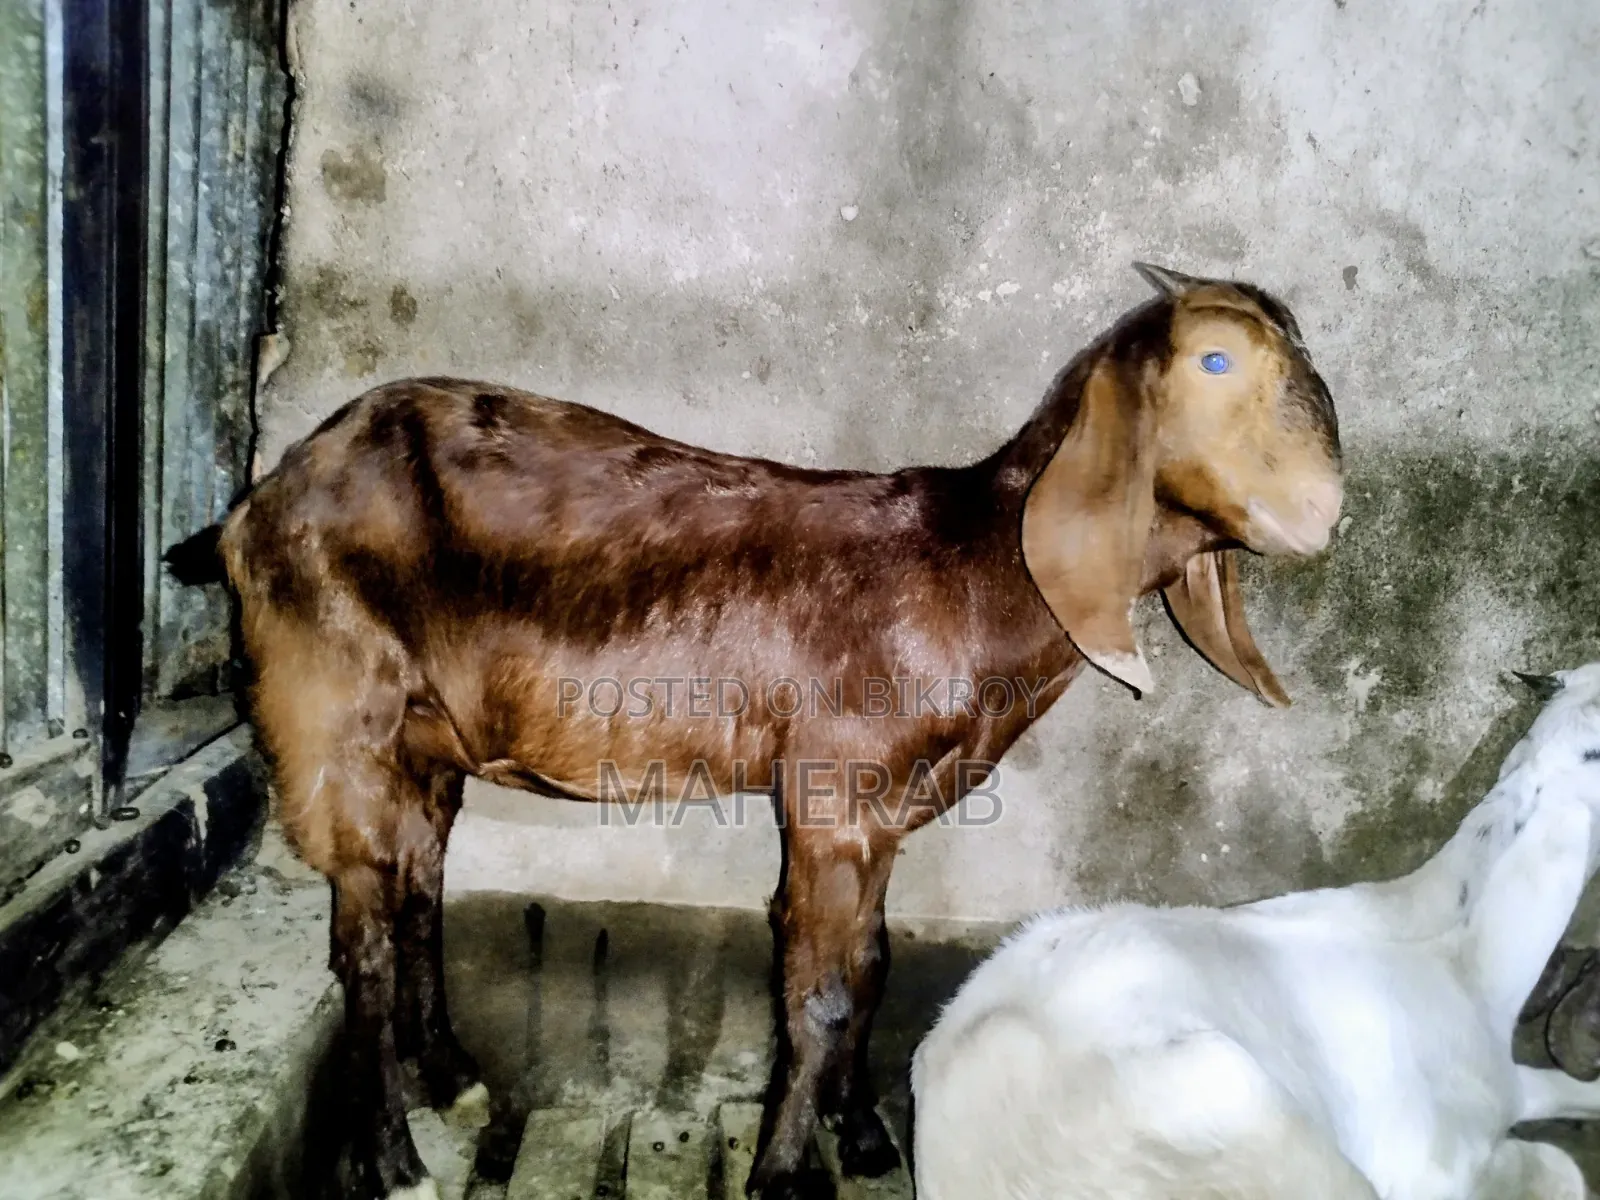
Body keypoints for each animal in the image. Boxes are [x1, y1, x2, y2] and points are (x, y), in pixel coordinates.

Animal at [162, 262, 1343, 1200]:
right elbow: (816, 991)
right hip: (331, 710)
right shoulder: (832, 797)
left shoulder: (884, 812)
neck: (973, 569)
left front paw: (860, 1135)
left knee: (415, 882)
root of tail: (257, 503)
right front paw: (783, 1172)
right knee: (356, 930)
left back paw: (448, 1074)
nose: (1326, 513)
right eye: (1216, 363)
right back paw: (389, 1154)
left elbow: (870, 964)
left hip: (426, 738)